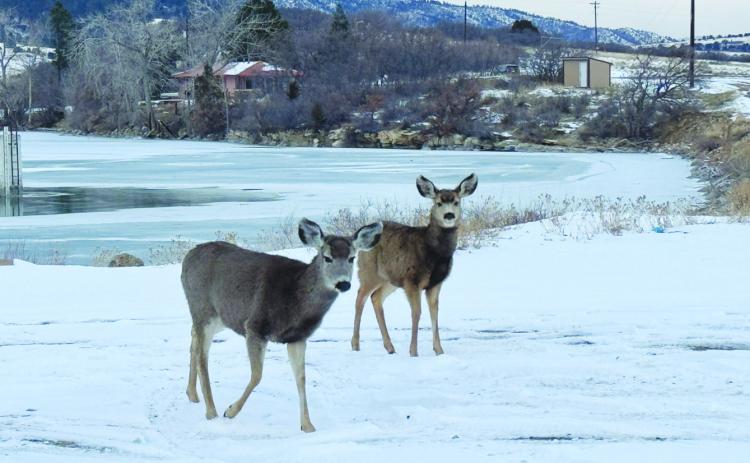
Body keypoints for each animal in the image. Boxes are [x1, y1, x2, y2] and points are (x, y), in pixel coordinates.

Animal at [181, 218, 382, 432]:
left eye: (352, 258)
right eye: (327, 257)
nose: (343, 284)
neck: (296, 300)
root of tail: (188, 257)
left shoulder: (297, 337)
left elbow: (301, 378)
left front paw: (307, 425)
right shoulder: (255, 326)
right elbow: (257, 375)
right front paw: (231, 411)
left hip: (219, 318)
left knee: (193, 340)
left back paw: (192, 395)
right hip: (203, 309)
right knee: (202, 356)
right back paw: (212, 411)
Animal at [351, 173, 478, 357]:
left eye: (456, 202)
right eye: (438, 203)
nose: (449, 215)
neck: (434, 252)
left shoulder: (435, 283)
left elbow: (434, 313)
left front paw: (439, 351)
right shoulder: (412, 280)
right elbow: (416, 313)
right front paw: (413, 352)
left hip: (390, 279)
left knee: (376, 297)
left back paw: (389, 347)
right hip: (369, 272)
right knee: (360, 297)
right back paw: (355, 345)